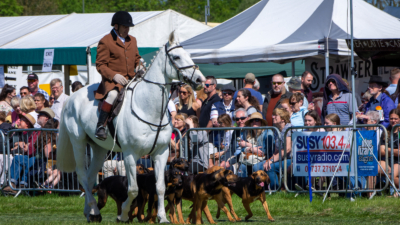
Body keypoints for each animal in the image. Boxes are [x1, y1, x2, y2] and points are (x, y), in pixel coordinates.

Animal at [56, 32, 206, 223]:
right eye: (177, 57)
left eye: (188, 54)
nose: (200, 80)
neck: (148, 108)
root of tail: (71, 97)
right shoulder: (130, 154)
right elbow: (133, 189)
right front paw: (124, 214)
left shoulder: (161, 153)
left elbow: (160, 187)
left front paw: (162, 218)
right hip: (79, 142)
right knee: (82, 175)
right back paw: (95, 211)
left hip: (99, 149)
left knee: (89, 178)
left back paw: (90, 212)